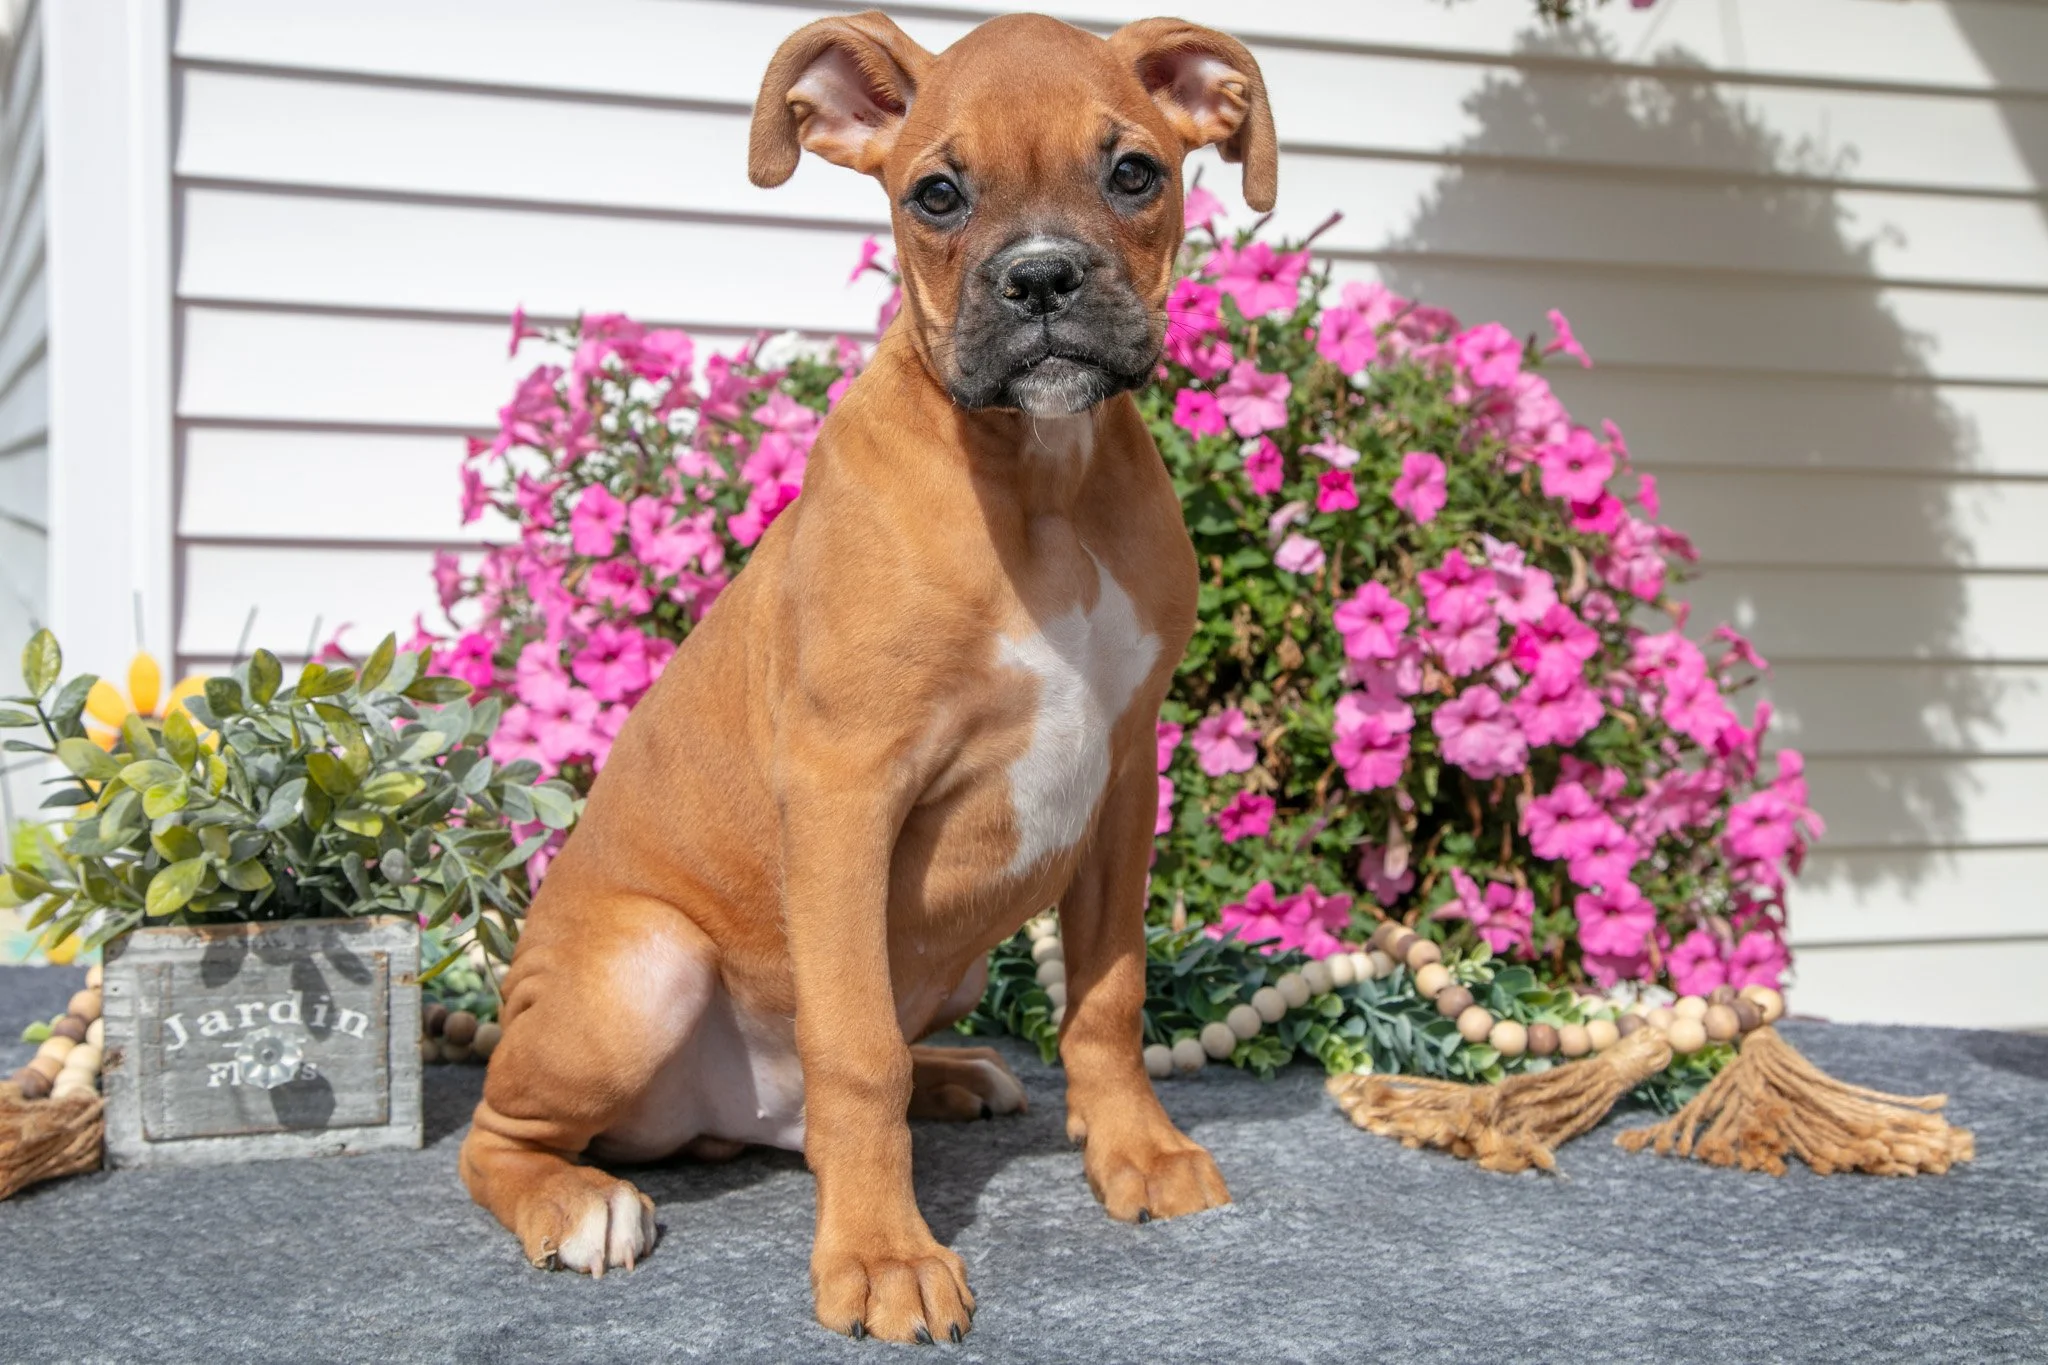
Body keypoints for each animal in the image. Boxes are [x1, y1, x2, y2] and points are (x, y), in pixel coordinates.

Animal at [459, 10, 1276, 1343]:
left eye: (1133, 173)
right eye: (934, 194)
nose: (1040, 279)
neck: (1039, 479)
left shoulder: (1122, 780)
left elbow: (1106, 999)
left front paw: (1136, 1152)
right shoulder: (845, 791)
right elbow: (853, 1053)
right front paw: (885, 1255)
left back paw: (952, 1076)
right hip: (640, 972)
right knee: (498, 1133)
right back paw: (575, 1203)